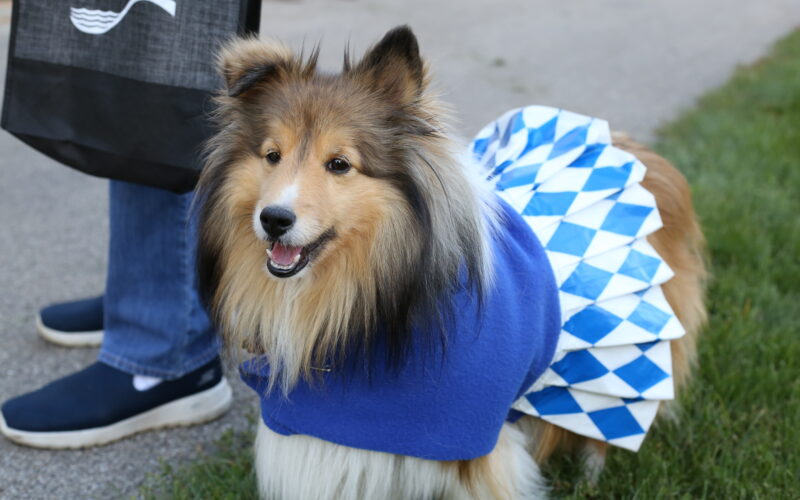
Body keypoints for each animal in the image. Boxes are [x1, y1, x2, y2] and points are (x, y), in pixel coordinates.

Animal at [195, 26, 708, 500]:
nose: (274, 219)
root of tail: (636, 150)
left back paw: (590, 474)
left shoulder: (471, 445)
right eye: (272, 156)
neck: (374, 305)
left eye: (339, 163)